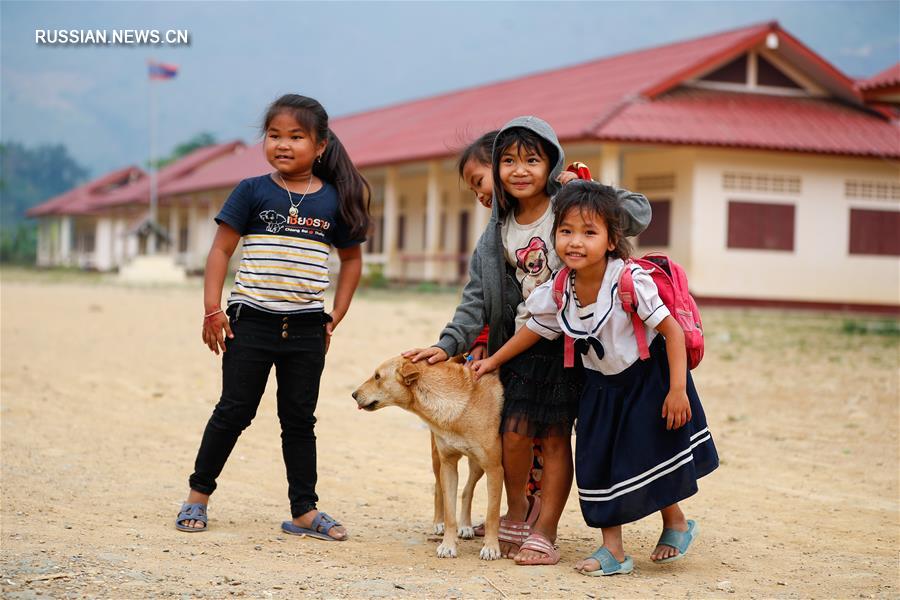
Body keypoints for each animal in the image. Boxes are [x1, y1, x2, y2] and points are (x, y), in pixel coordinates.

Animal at [354, 354, 506, 560]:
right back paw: (440, 524)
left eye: (377, 376)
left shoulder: (494, 468)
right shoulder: (448, 464)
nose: (353, 395)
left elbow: (492, 514)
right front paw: (448, 545)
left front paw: (491, 547)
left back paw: (466, 526)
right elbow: (450, 513)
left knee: (467, 490)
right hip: (437, 460)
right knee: (438, 488)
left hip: (478, 465)